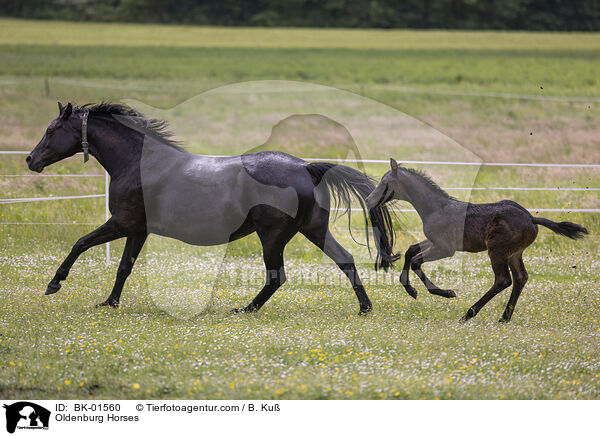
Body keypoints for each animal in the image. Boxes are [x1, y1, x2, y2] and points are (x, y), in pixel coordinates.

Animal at [25, 102, 396, 314]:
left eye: (51, 129)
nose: (30, 160)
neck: (138, 163)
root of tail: (307, 168)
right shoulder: (137, 229)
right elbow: (124, 267)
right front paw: (109, 303)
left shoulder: (123, 222)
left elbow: (81, 244)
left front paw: (54, 284)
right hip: (313, 229)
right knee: (345, 259)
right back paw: (365, 307)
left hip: (272, 236)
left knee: (277, 276)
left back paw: (245, 309)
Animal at [364, 158, 588, 322]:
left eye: (385, 183)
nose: (367, 200)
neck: (436, 208)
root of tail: (531, 218)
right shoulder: (434, 241)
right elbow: (411, 251)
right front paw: (411, 290)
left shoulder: (445, 248)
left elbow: (416, 261)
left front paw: (446, 293)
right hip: (514, 253)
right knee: (520, 278)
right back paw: (504, 317)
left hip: (497, 250)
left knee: (503, 280)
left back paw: (469, 313)